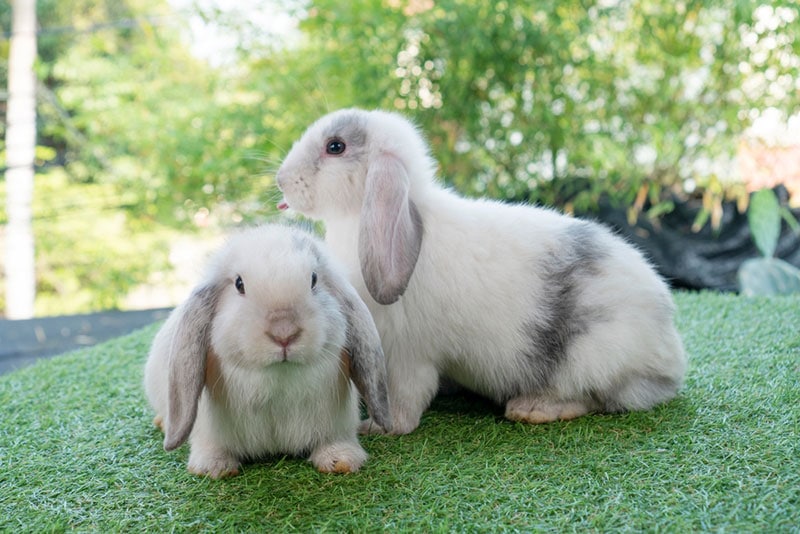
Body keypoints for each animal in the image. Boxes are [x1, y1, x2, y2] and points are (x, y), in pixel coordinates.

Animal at [144, 224, 391, 478]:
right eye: (239, 284)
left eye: (313, 279)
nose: (284, 333)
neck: (278, 377)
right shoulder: (208, 430)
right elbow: (212, 447)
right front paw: (214, 468)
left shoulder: (337, 424)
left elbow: (335, 440)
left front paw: (340, 461)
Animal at [275, 108, 688, 435]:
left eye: (335, 147)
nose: (280, 179)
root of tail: (670, 353)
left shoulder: (410, 355)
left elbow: (406, 397)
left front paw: (380, 428)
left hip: (592, 359)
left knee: (597, 399)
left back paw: (532, 408)